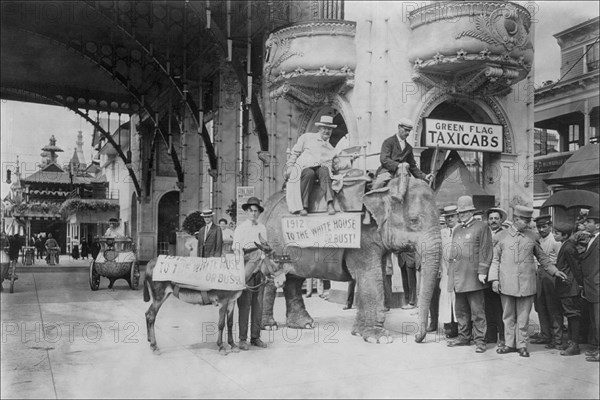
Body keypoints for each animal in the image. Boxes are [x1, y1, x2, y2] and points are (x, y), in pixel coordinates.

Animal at [260, 164, 442, 342]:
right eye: (414, 221)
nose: (417, 338)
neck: (383, 188)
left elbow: (375, 275)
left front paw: (359, 333)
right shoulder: (363, 238)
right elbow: (371, 275)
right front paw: (380, 338)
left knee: (294, 279)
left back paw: (303, 324)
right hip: (271, 243)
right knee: (273, 278)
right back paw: (270, 326)